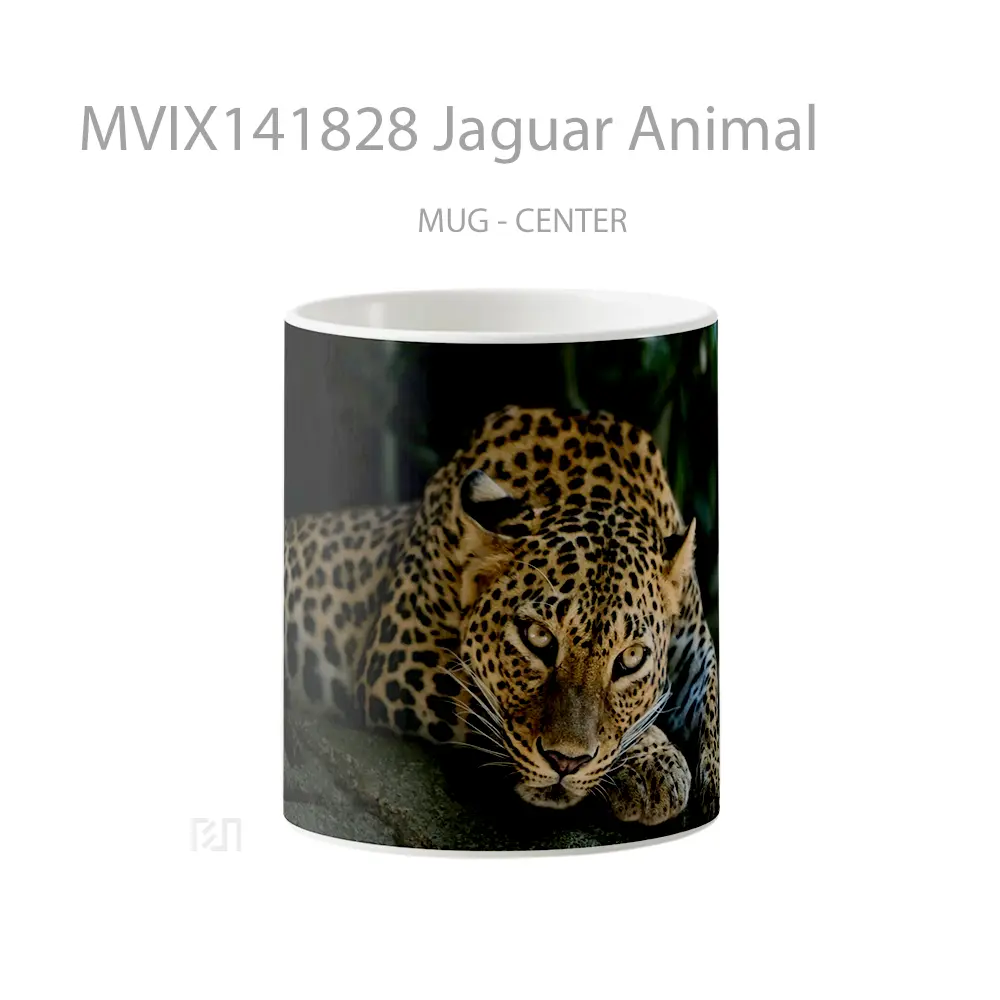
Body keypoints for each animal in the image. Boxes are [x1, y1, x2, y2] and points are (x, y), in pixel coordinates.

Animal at [284, 406, 719, 827]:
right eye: (537, 638)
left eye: (630, 658)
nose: (566, 762)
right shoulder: (400, 655)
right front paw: (651, 763)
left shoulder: (697, 649)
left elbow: (713, 704)